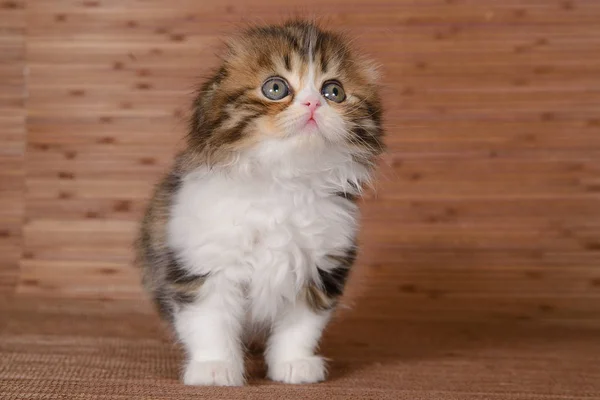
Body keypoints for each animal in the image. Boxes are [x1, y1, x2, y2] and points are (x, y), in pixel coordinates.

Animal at [136, 20, 382, 386]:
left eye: (333, 92)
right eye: (276, 88)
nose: (313, 104)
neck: (284, 182)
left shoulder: (319, 268)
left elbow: (300, 325)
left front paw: (294, 364)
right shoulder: (204, 264)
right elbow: (209, 322)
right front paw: (214, 367)